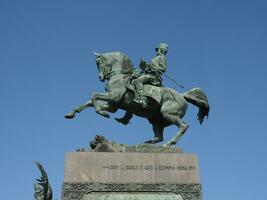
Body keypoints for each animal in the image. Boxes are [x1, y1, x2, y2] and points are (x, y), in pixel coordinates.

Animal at [66, 51, 210, 145]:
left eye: (99, 63)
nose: (101, 77)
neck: (120, 76)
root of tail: (182, 96)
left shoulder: (114, 97)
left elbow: (93, 95)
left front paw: (102, 113)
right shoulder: (113, 104)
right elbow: (89, 102)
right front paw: (71, 113)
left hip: (168, 114)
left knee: (183, 126)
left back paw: (170, 143)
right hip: (157, 119)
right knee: (159, 137)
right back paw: (147, 143)